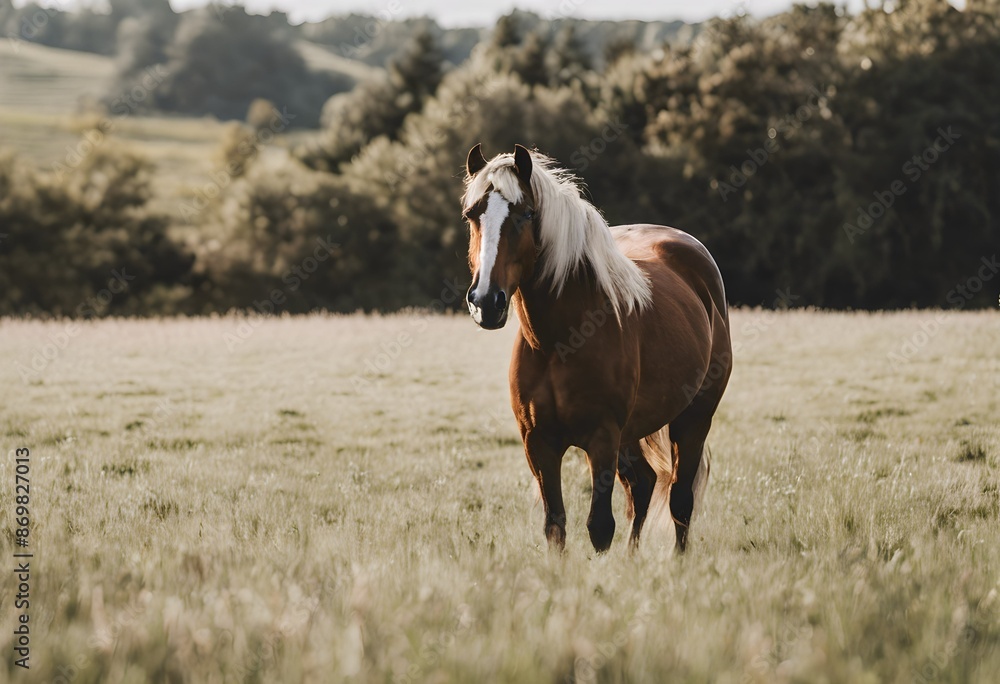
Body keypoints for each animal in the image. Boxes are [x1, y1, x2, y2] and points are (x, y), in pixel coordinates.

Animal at [461, 143, 733, 553]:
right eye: (472, 214)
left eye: (527, 213)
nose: (485, 302)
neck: (558, 343)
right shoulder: (538, 443)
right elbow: (555, 525)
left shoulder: (602, 438)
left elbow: (599, 527)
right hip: (633, 432)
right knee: (643, 484)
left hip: (694, 418)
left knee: (680, 499)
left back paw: (678, 561)